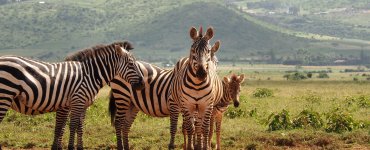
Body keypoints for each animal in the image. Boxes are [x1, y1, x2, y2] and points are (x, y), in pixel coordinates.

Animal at [0, 41, 145, 150]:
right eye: (131, 64)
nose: (142, 84)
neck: (89, 74)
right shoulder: (76, 101)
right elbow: (71, 126)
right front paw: (70, 147)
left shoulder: (82, 104)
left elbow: (79, 127)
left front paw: (79, 147)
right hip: (4, 96)